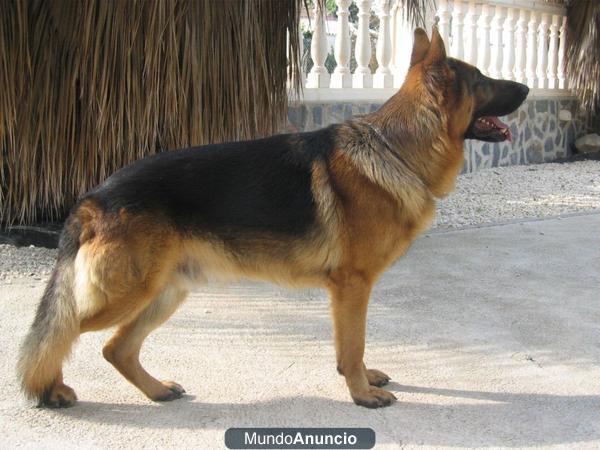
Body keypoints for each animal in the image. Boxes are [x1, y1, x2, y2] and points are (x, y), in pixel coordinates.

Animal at [17, 27, 524, 408]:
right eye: (483, 78)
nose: (525, 87)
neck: (397, 149)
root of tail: (95, 196)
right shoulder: (353, 286)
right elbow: (354, 344)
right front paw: (361, 394)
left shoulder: (348, 292)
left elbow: (349, 347)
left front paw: (360, 380)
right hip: (128, 293)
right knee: (63, 331)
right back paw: (52, 389)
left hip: (166, 292)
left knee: (114, 348)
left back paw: (156, 390)